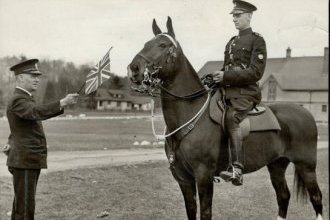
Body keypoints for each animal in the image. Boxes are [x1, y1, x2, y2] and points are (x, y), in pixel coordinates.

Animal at [127, 17, 324, 220]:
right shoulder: (183, 179)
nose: (134, 69)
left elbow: (206, 212)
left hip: (306, 165)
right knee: (283, 195)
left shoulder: (204, 176)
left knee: (316, 197)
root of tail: (305, 113)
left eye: (163, 45)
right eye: (146, 44)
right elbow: (191, 210)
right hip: (277, 164)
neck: (190, 116)